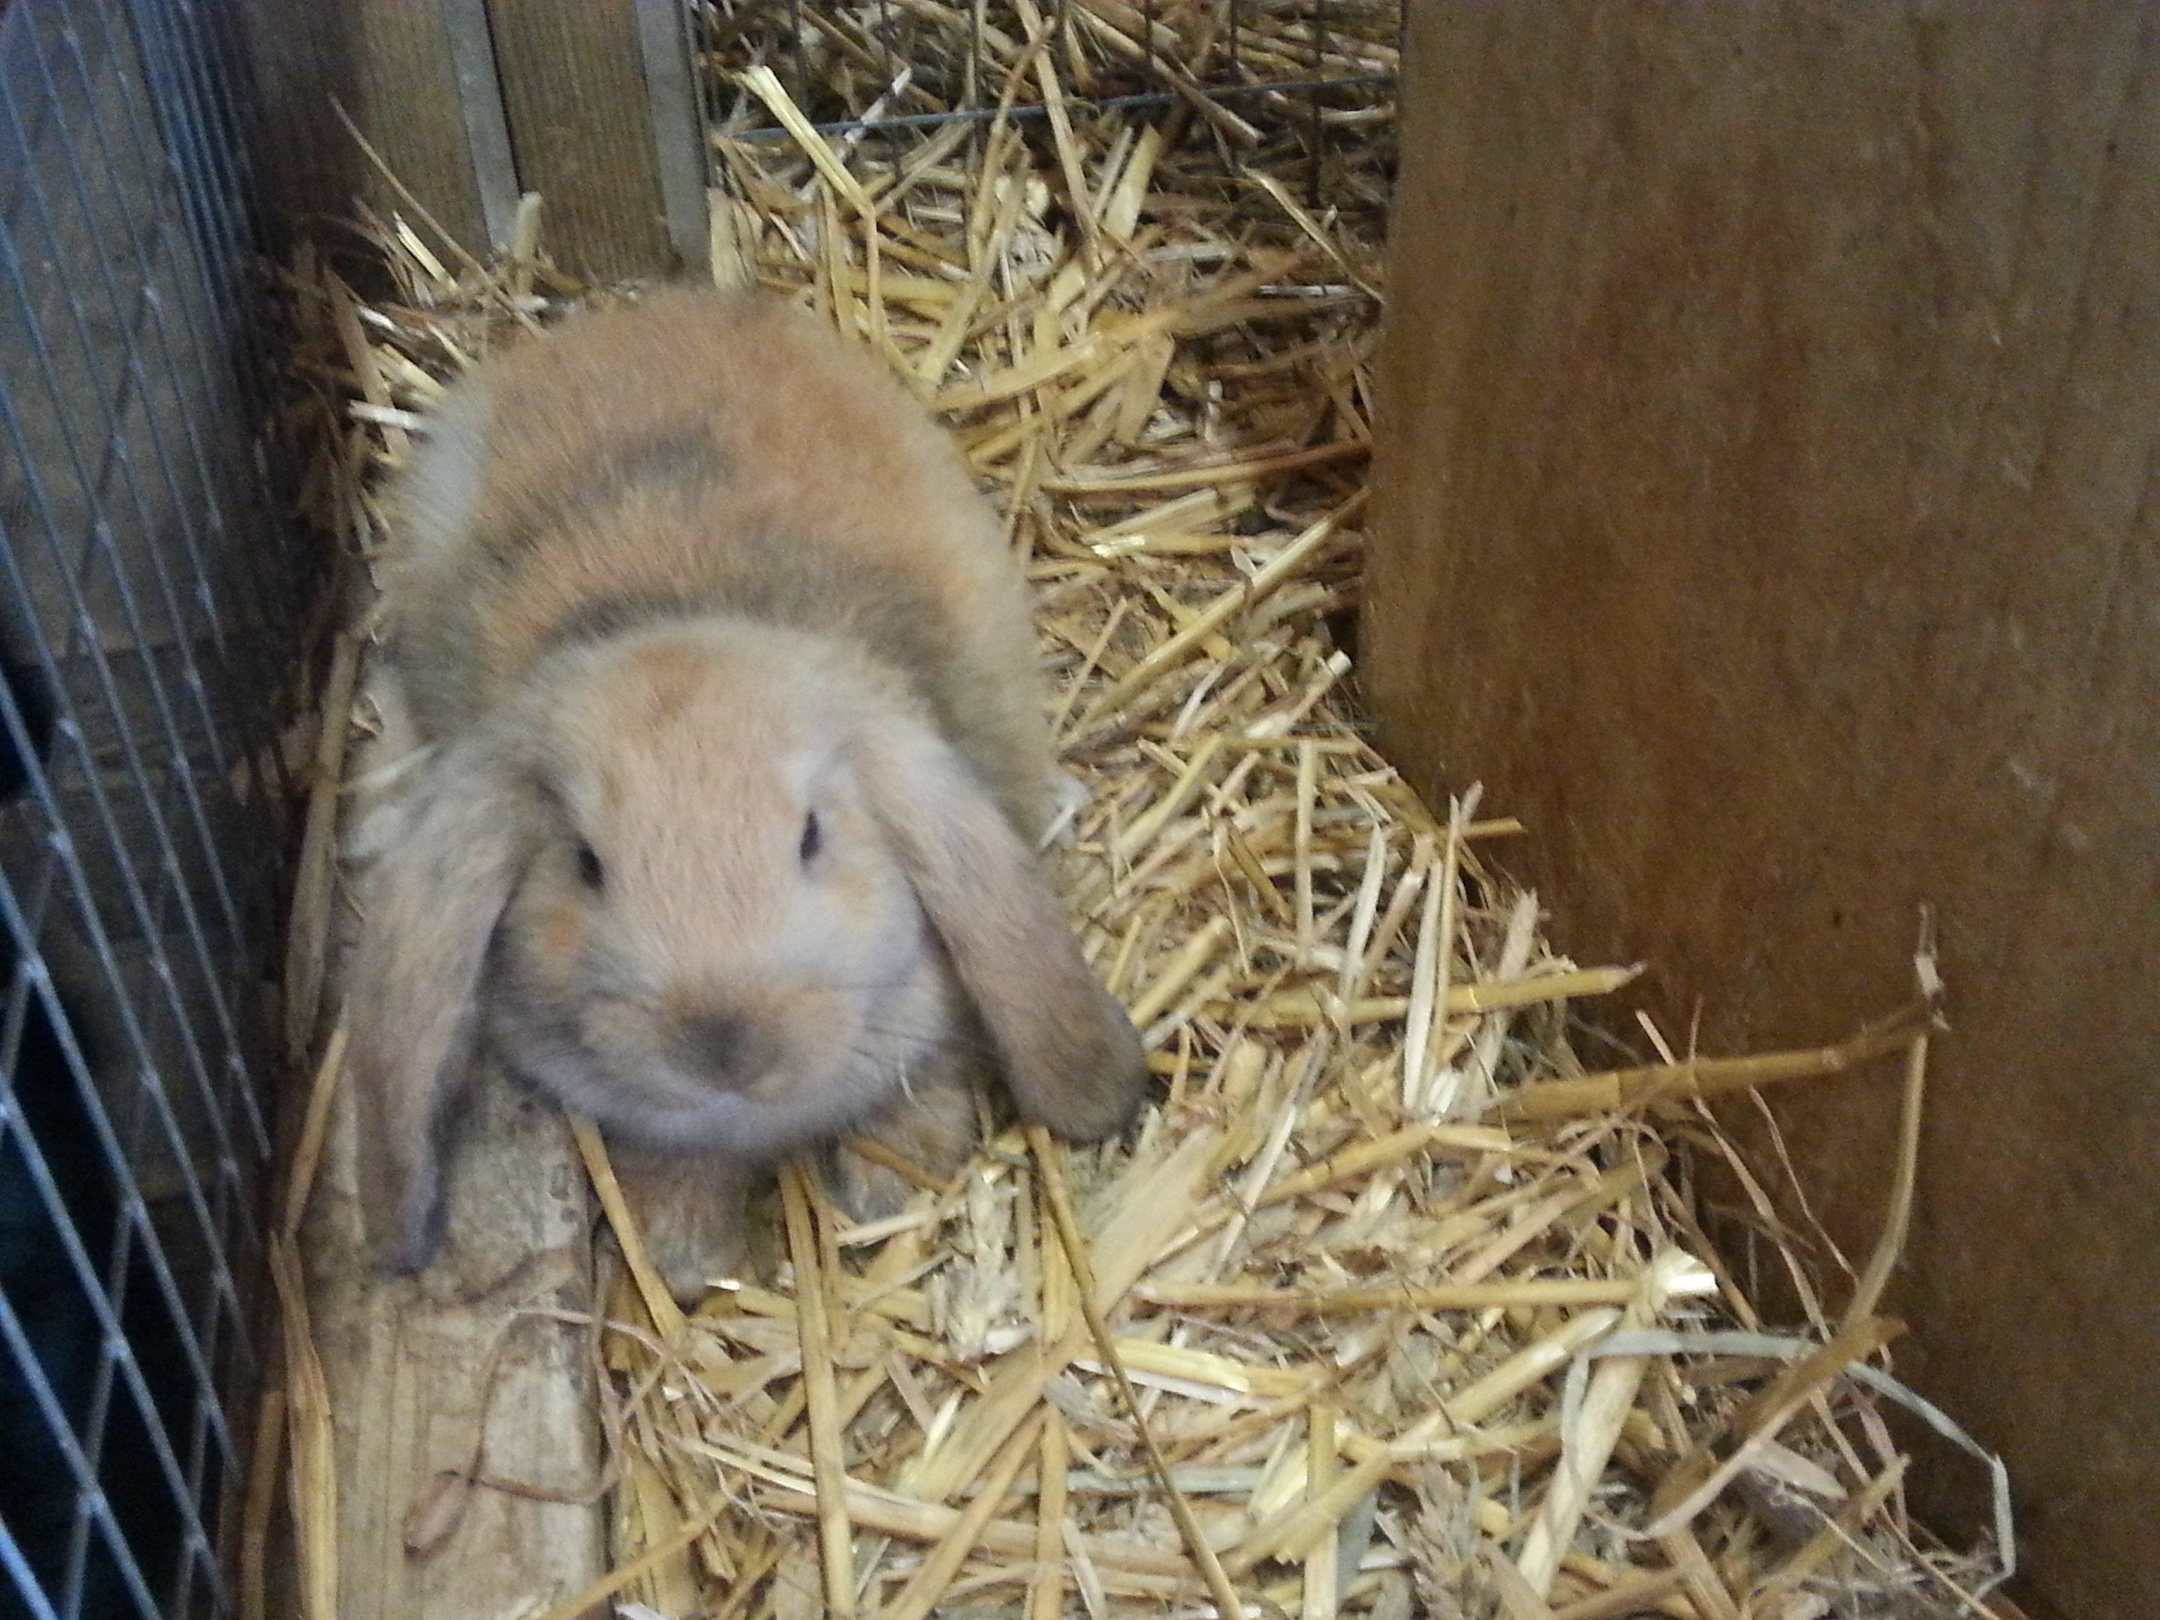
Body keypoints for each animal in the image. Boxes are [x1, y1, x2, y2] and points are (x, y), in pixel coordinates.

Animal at [346, 287, 1149, 1303]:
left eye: (811, 836)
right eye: (585, 863)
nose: (723, 1045)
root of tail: (652, 310)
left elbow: (923, 1089)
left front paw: (887, 1192)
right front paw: (686, 1259)